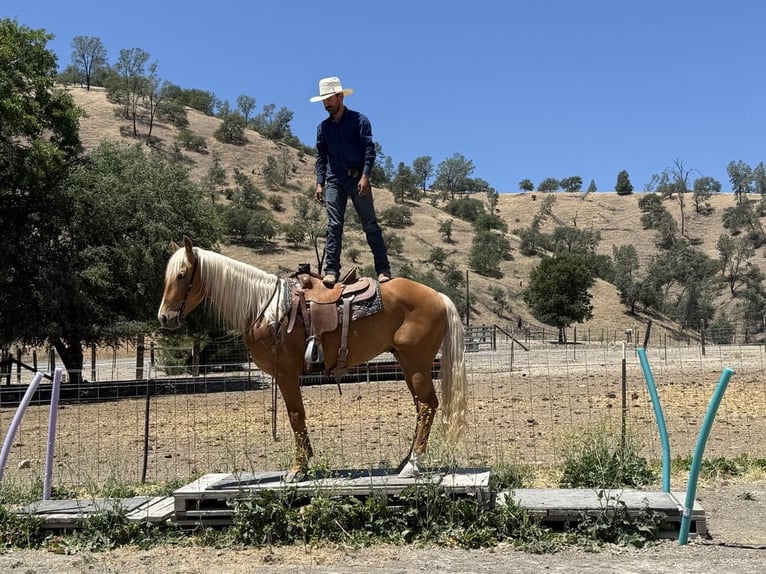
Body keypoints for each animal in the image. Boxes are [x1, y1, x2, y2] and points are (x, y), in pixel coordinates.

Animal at [157, 236, 467, 481]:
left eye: (183, 274)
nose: (164, 318)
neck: (265, 308)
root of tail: (438, 295)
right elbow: (297, 416)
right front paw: (304, 463)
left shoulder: (286, 373)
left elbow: (296, 415)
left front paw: (298, 468)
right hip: (406, 363)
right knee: (421, 407)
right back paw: (406, 461)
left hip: (416, 364)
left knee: (427, 405)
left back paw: (412, 465)